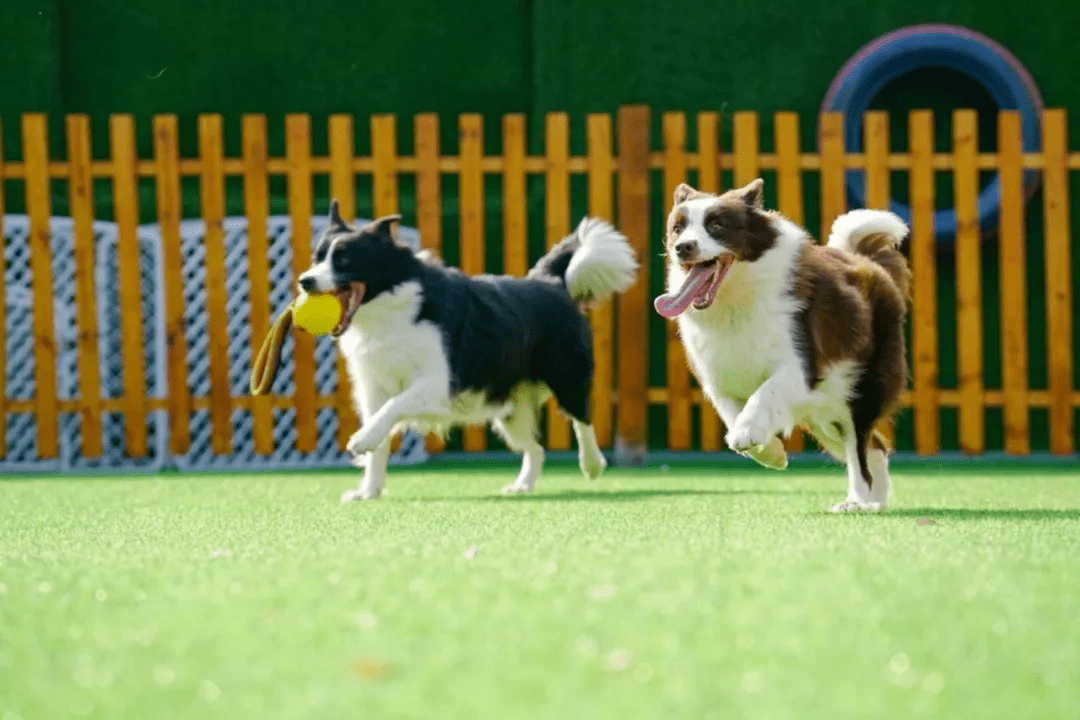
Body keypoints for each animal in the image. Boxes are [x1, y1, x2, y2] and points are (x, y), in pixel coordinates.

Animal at [300, 199, 635, 498]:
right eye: (317, 257)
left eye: (344, 259)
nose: (305, 281)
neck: (387, 306)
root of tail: (552, 282)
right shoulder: (373, 388)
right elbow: (380, 433)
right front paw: (369, 491)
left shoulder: (438, 382)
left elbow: (394, 406)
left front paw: (360, 441)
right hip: (510, 407)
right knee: (537, 448)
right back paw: (523, 486)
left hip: (566, 375)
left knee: (582, 418)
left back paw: (592, 464)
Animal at [656, 179, 911, 511]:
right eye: (677, 228)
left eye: (717, 225)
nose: (683, 247)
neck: (734, 303)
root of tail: (869, 263)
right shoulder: (717, 376)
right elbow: (731, 412)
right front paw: (770, 452)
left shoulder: (802, 365)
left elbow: (765, 392)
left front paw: (747, 434)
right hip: (825, 413)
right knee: (874, 446)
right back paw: (871, 502)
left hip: (860, 389)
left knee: (859, 447)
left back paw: (859, 501)